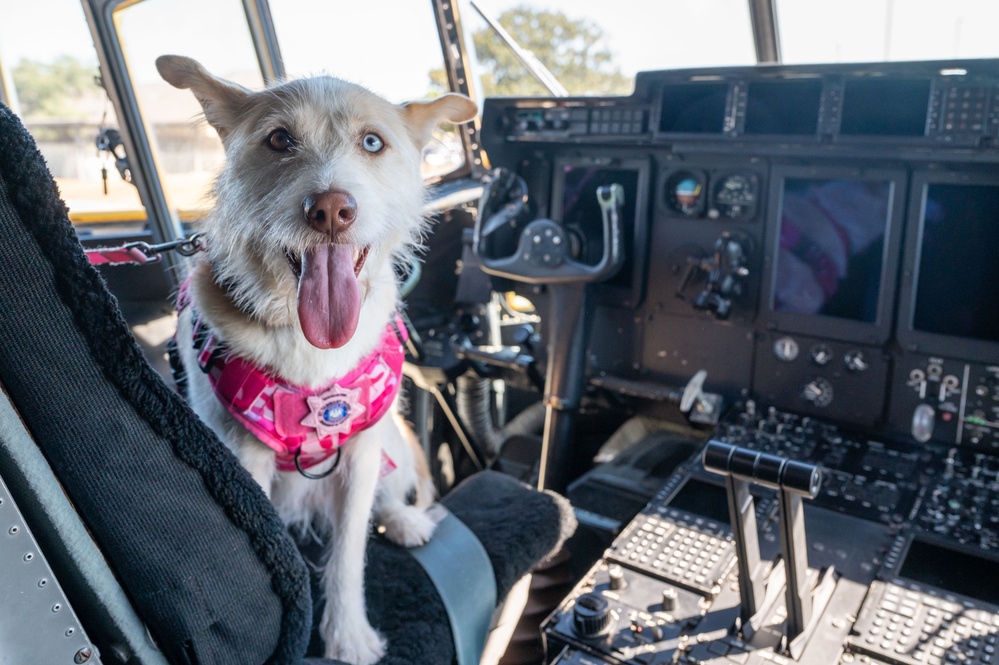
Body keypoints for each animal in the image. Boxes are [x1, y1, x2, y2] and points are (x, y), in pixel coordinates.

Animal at [158, 54, 478, 660]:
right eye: (280, 139)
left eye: (372, 142)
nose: (330, 209)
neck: (310, 347)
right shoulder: (244, 458)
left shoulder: (361, 449)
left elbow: (350, 552)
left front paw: (348, 636)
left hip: (392, 439)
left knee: (387, 495)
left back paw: (405, 521)